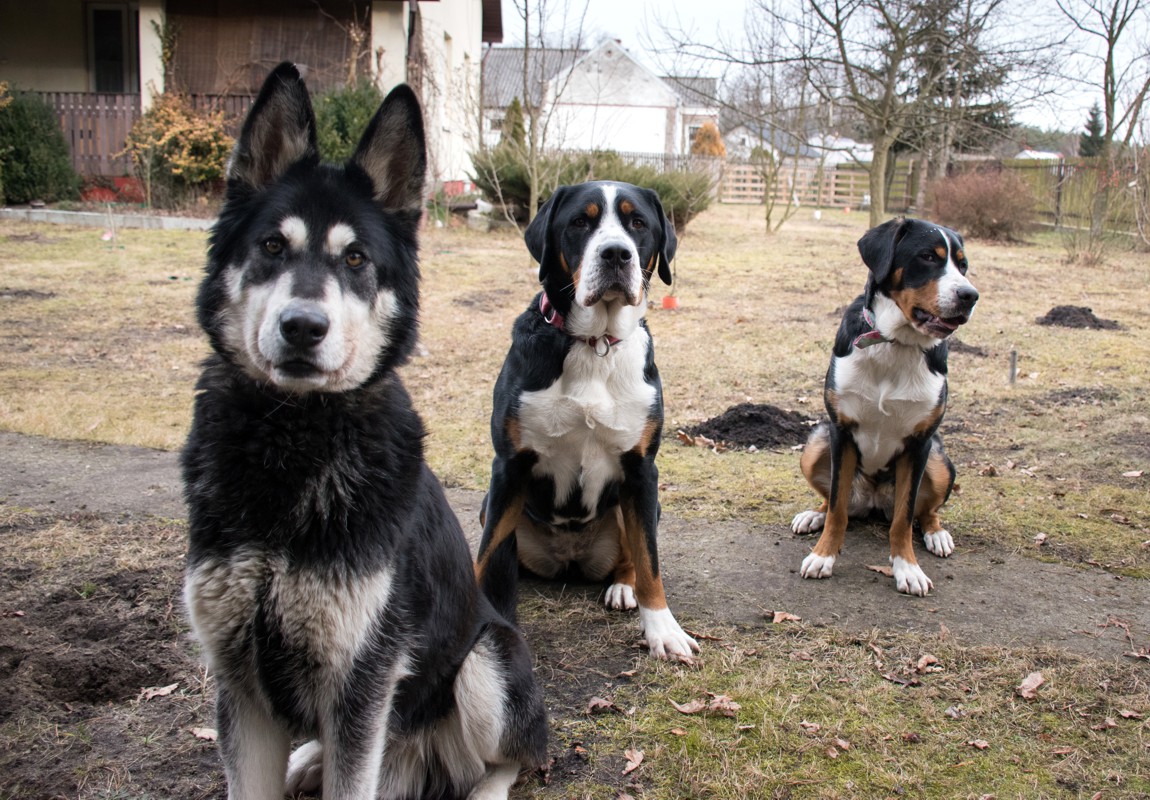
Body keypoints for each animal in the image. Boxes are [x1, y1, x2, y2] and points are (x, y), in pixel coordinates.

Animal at [182, 62, 547, 800]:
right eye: (271, 247)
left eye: (355, 260)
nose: (302, 327)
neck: (292, 442)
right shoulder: (241, 684)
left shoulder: (363, 680)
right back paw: (307, 759)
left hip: (482, 667)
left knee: (513, 758)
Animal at [471, 181, 694, 662]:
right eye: (579, 222)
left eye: (637, 223)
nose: (616, 254)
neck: (595, 344)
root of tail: (569, 558)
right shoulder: (509, 466)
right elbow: (485, 555)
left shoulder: (641, 469)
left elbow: (650, 559)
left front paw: (662, 629)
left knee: (632, 554)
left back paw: (623, 586)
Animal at [791, 217, 979, 593]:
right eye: (927, 256)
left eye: (962, 265)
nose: (970, 295)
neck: (895, 344)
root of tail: (874, 501)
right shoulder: (842, 431)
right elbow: (837, 508)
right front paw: (823, 556)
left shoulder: (920, 443)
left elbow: (904, 519)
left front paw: (907, 568)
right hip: (816, 443)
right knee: (834, 501)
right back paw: (813, 515)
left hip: (939, 460)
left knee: (926, 512)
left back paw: (937, 535)